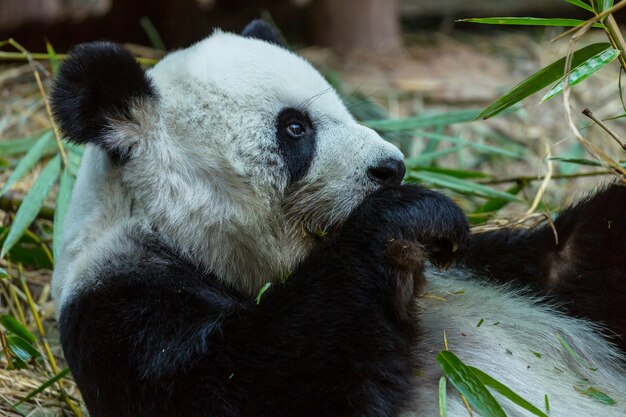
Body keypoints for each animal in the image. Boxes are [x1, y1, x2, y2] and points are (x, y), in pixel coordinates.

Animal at [50, 21, 624, 416]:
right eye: (295, 127)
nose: (391, 168)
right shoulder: (120, 315)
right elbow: (261, 384)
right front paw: (405, 219)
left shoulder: (474, 264)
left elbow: (563, 269)